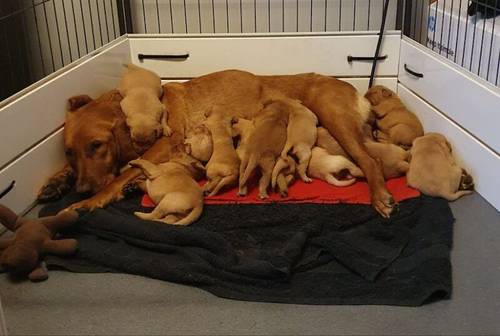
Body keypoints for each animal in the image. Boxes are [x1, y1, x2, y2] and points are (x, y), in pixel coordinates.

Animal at [39, 71, 396, 218]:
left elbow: (123, 172)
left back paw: (379, 196)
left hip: (332, 114)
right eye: (69, 151)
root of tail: (356, 91)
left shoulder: (165, 142)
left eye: (97, 145)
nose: (82, 189)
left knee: (370, 161)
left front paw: (90, 200)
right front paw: (57, 181)